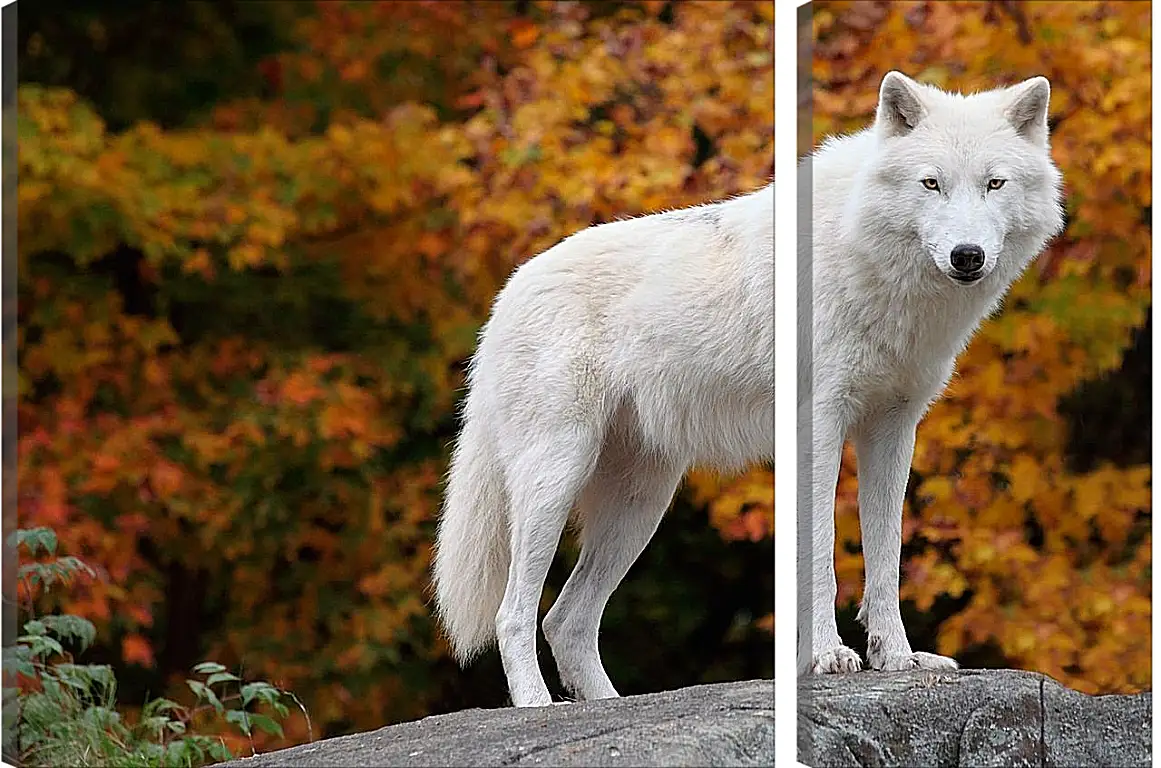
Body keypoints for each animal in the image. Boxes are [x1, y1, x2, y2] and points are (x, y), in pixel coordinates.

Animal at [431, 181, 775, 706]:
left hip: (639, 507)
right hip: (556, 482)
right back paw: (537, 707)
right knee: (514, 616)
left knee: (564, 621)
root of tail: (506, 296)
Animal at [803, 70, 1063, 669]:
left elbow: (886, 553)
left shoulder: (893, 427)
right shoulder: (821, 423)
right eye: (931, 184)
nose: (967, 255)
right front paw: (828, 655)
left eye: (995, 184)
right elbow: (820, 552)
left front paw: (897, 657)